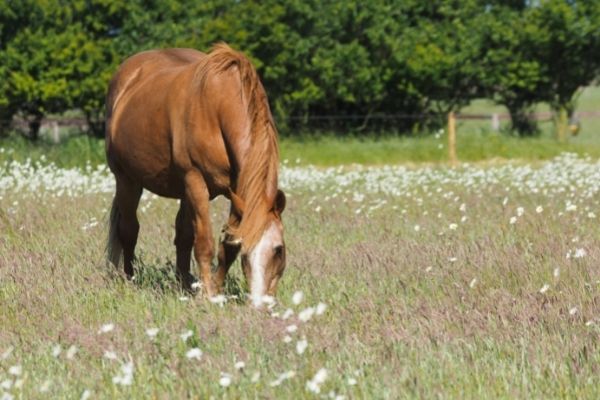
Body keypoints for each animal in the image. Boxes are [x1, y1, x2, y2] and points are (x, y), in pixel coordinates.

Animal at [104, 43, 288, 306]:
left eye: (279, 249)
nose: (261, 305)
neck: (219, 104)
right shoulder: (196, 181)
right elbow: (204, 243)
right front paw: (209, 295)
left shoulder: (238, 191)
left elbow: (225, 245)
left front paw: (215, 289)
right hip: (128, 181)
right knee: (129, 230)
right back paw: (131, 279)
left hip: (182, 191)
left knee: (182, 236)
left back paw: (184, 284)